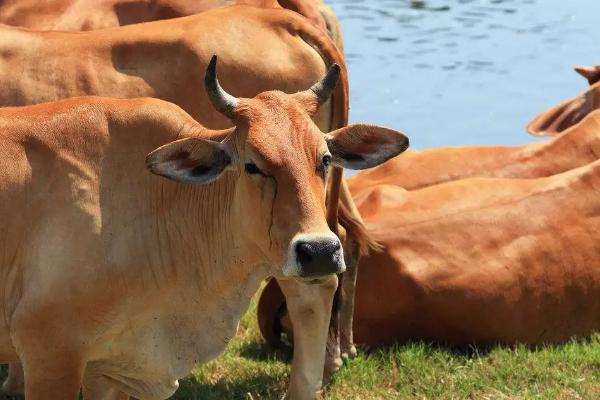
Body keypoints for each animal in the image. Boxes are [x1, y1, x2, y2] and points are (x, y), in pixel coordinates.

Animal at [0, 5, 370, 396]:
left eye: (325, 159)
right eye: (252, 164)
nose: (318, 251)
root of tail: (278, 16)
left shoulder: (58, 353)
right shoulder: (89, 360)